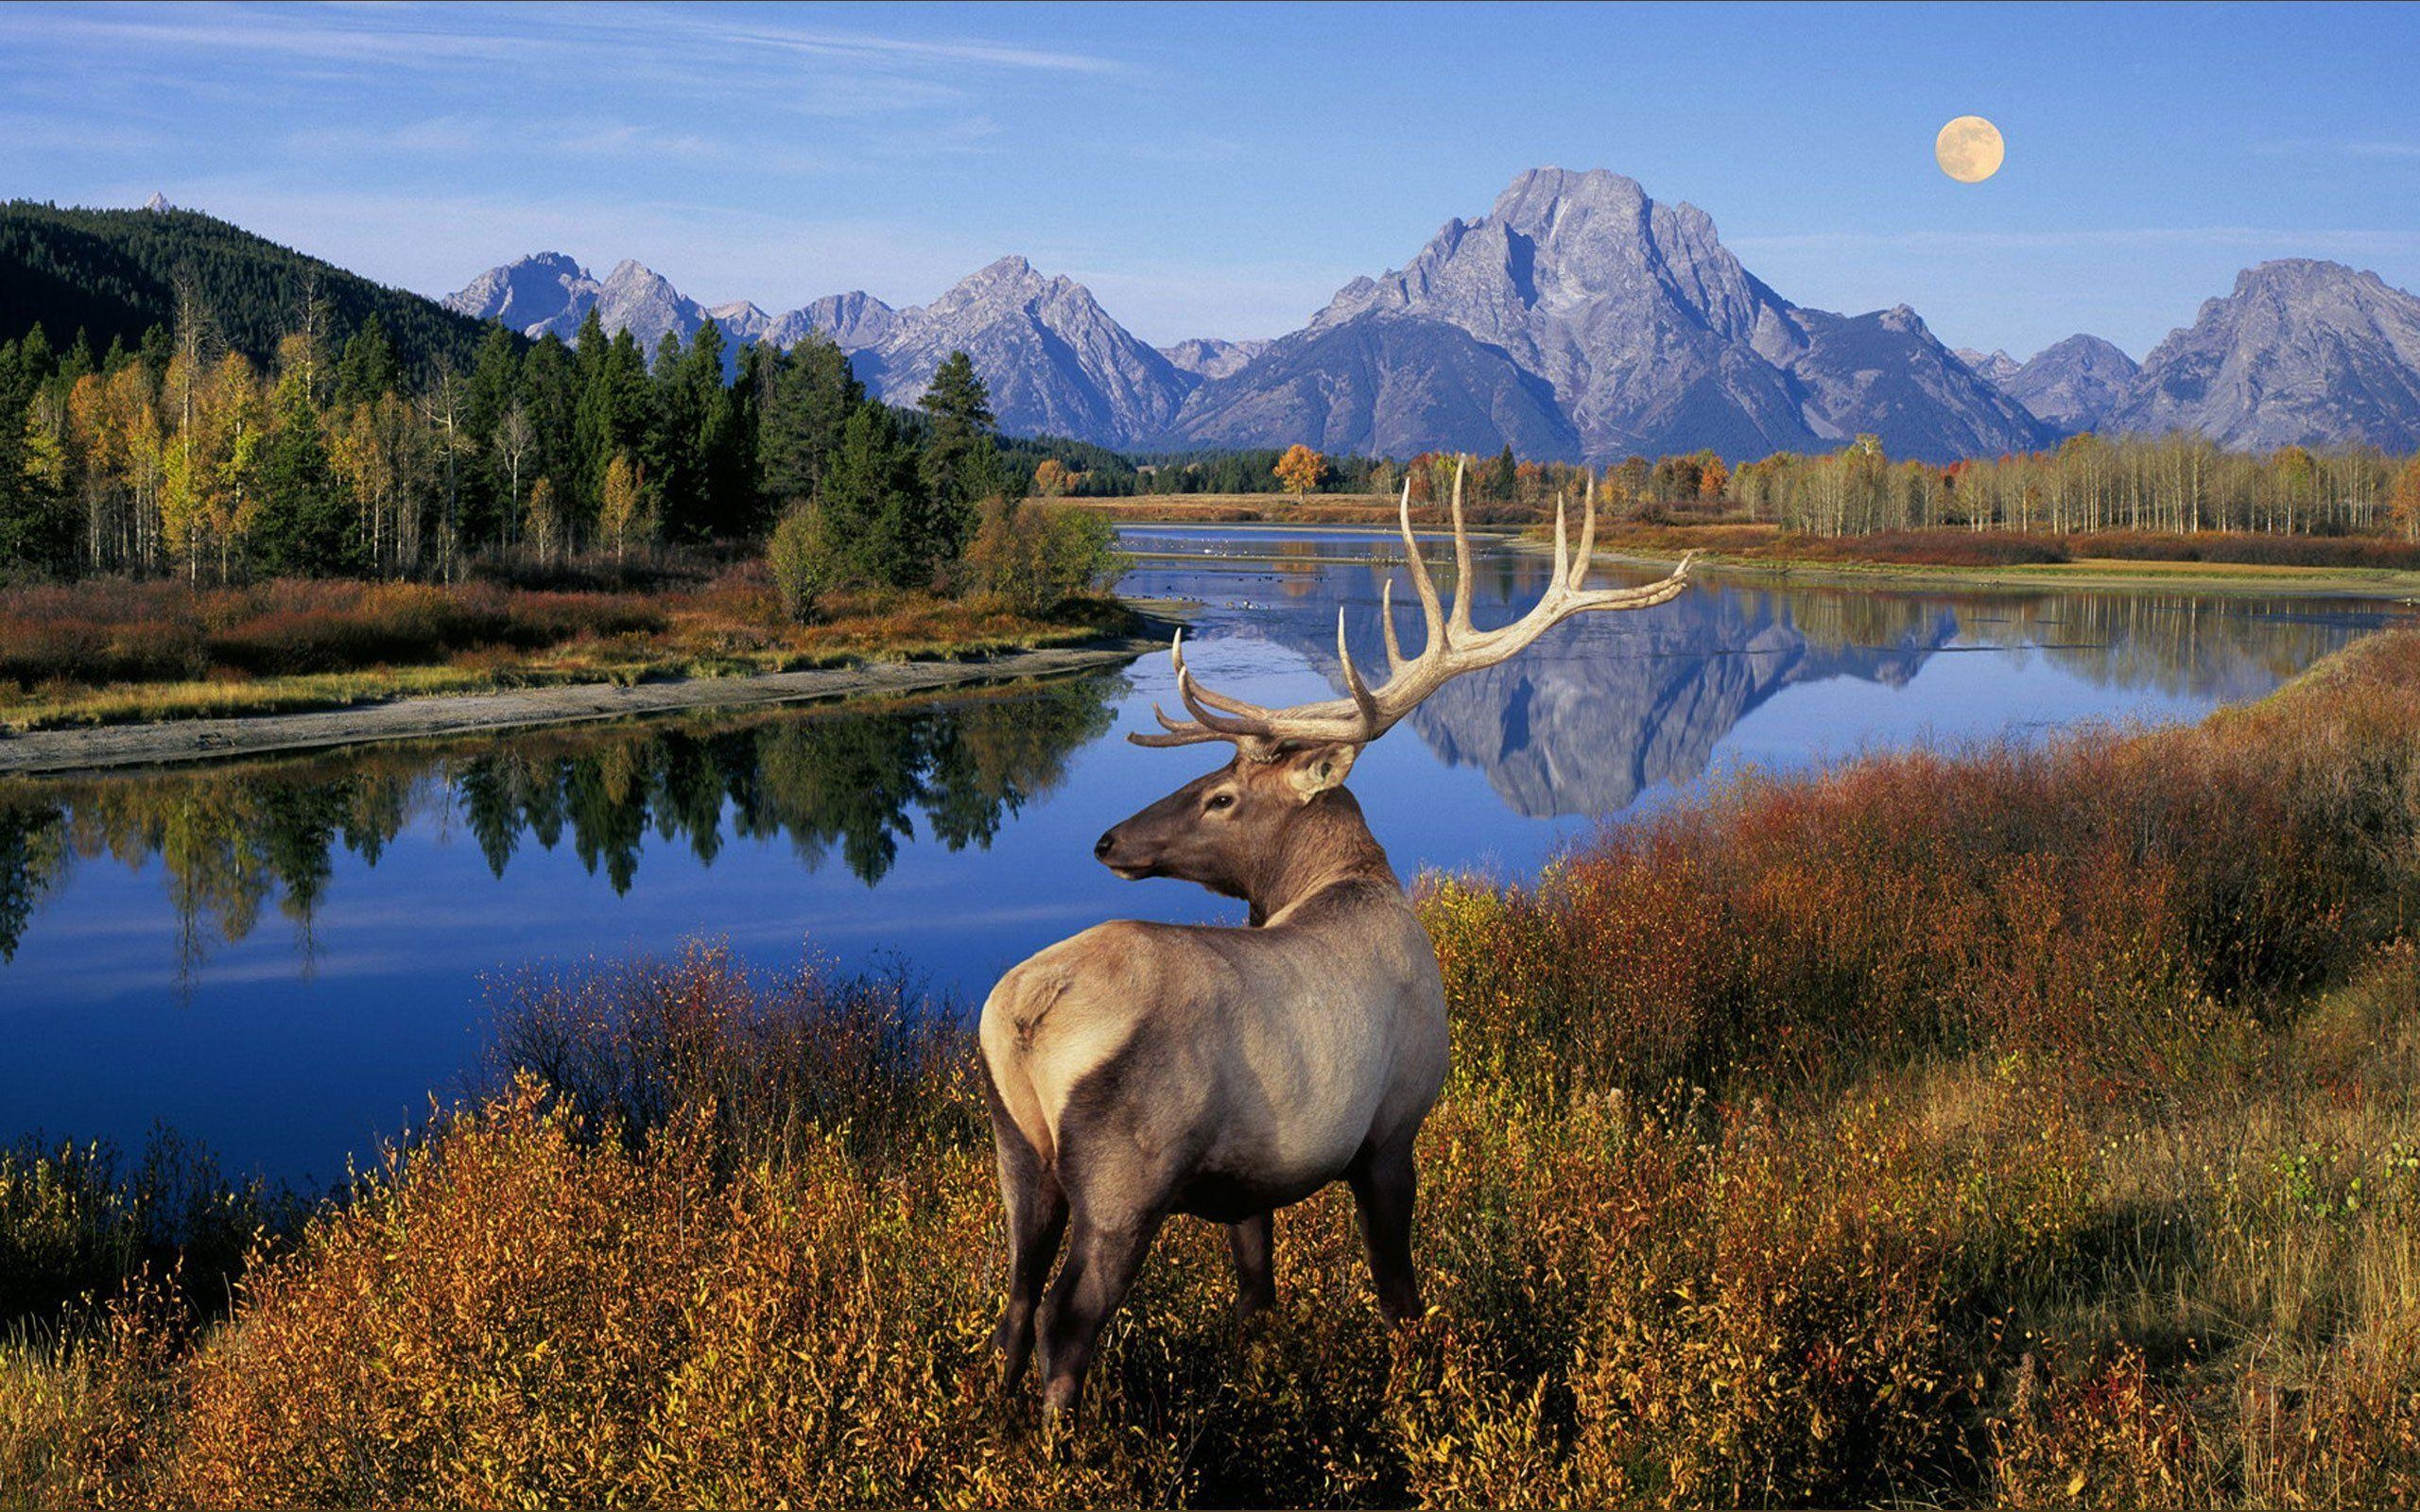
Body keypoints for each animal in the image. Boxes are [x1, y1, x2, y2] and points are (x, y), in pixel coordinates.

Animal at [962, 461, 1684, 1413]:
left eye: (1222, 795)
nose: (1109, 840)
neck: (1349, 883)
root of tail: (1023, 1014)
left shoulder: (1246, 1187)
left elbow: (1258, 1298)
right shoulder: (1392, 1130)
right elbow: (1399, 1294)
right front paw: (1420, 1386)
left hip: (1017, 1150)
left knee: (1012, 1306)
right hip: (1126, 1176)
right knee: (1064, 1323)